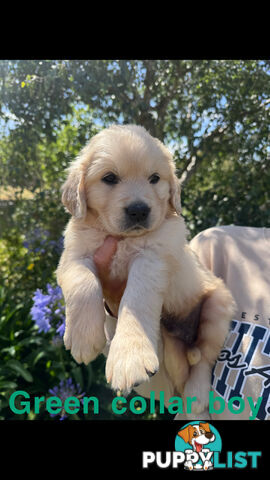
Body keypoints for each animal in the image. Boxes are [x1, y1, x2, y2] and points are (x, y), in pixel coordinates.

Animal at [57, 125, 236, 414]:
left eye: (154, 178)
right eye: (109, 178)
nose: (139, 210)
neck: (123, 238)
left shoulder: (153, 258)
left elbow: (136, 300)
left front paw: (129, 357)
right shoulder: (73, 256)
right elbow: (83, 283)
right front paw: (84, 336)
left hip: (217, 309)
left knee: (204, 359)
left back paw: (197, 395)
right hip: (174, 348)